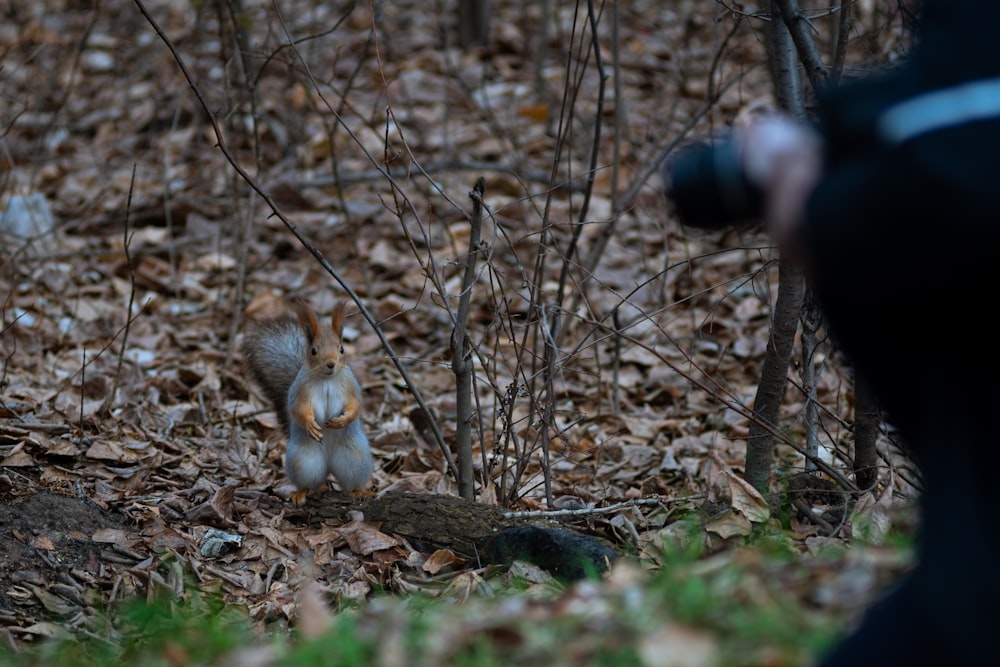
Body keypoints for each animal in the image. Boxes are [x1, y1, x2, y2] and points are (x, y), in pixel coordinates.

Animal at [244, 300, 374, 504]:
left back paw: (359, 491)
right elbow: (299, 410)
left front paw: (342, 421)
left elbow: (355, 406)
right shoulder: (301, 391)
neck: (327, 379)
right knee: (309, 482)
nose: (330, 364)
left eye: (341, 349)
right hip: (303, 460)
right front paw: (310, 425)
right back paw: (303, 493)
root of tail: (329, 464)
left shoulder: (351, 388)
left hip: (355, 457)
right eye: (313, 351)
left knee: (351, 481)